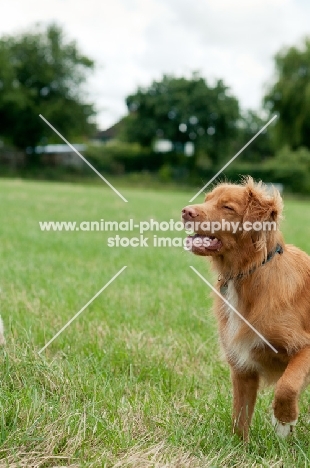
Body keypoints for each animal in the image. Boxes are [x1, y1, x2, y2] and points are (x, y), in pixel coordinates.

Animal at [182, 177, 310, 440]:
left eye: (227, 207)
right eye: (207, 199)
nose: (185, 212)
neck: (249, 272)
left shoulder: (305, 347)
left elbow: (287, 385)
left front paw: (284, 421)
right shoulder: (242, 368)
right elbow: (239, 415)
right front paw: (239, 446)